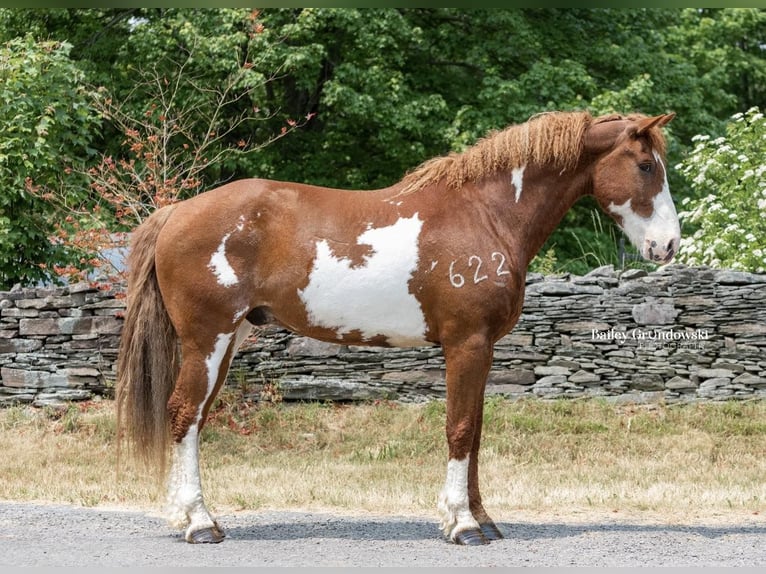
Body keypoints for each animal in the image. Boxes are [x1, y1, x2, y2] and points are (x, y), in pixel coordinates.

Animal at [117, 110, 680, 548]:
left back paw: (189, 517)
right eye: (646, 166)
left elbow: (476, 432)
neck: (487, 213)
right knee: (184, 415)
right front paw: (462, 526)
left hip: (227, 341)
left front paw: (482, 519)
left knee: (193, 419)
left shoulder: (483, 349)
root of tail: (175, 212)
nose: (669, 245)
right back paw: (199, 524)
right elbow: (459, 429)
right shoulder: (466, 344)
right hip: (207, 340)